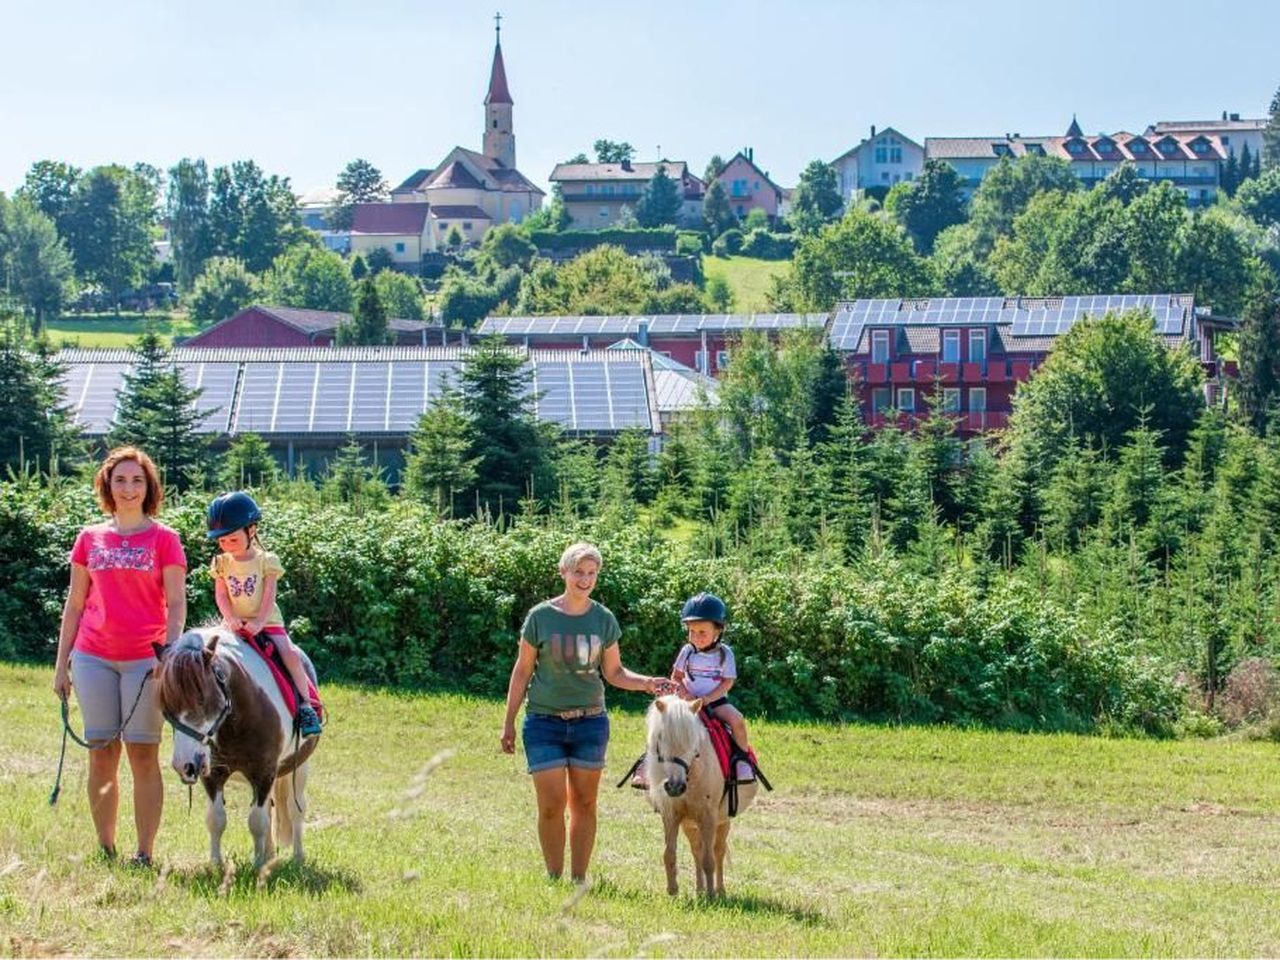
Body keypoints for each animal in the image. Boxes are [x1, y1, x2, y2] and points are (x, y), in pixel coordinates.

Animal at [153, 632, 316, 870]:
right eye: (166, 705)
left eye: (201, 699)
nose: (184, 765)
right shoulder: (213, 774)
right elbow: (216, 819)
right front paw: (216, 865)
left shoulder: (264, 772)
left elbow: (257, 821)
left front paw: (257, 866)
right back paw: (269, 855)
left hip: (300, 766)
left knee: (296, 809)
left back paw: (297, 858)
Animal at [645, 696, 752, 901]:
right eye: (661, 738)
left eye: (693, 742)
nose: (675, 786)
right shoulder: (671, 815)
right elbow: (669, 854)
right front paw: (672, 891)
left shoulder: (708, 817)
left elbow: (709, 860)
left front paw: (711, 896)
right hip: (690, 824)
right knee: (697, 850)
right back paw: (699, 890)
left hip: (722, 821)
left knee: (718, 851)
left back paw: (719, 891)